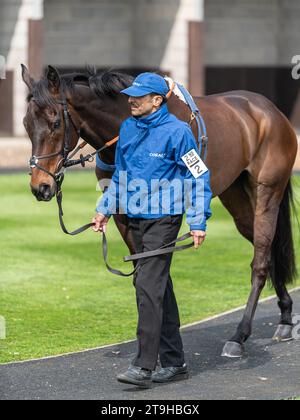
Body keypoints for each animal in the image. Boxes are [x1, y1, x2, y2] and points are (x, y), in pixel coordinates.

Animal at [21, 65, 298, 358]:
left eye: (55, 124)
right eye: (26, 124)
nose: (41, 186)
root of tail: (269, 110)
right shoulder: (122, 214)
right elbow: (142, 272)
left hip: (267, 191)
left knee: (260, 261)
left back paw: (240, 335)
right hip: (236, 197)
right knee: (266, 249)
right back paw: (285, 316)